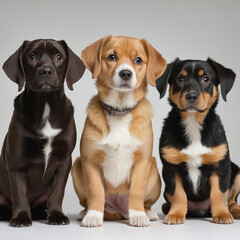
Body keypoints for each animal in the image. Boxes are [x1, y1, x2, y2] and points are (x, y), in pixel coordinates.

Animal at [0, 39, 85, 227]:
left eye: (59, 56)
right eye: (32, 56)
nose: (46, 71)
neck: (46, 105)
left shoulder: (64, 160)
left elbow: (58, 192)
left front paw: (56, 214)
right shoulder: (16, 160)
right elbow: (19, 193)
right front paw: (21, 217)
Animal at [71, 35, 165, 227]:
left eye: (138, 60)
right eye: (112, 57)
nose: (126, 73)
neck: (120, 110)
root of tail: (117, 209)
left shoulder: (142, 161)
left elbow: (136, 191)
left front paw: (138, 215)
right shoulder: (90, 161)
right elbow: (95, 192)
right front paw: (93, 215)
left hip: (153, 169)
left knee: (145, 201)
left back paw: (147, 212)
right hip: (77, 165)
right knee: (88, 200)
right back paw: (85, 212)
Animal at [156, 58, 240, 225]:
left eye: (205, 79)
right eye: (180, 78)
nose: (191, 96)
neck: (193, 122)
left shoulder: (220, 167)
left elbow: (219, 194)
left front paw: (221, 214)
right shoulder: (171, 168)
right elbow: (178, 194)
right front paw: (176, 213)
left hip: (237, 171)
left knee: (232, 201)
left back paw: (235, 211)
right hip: (165, 189)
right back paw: (168, 209)